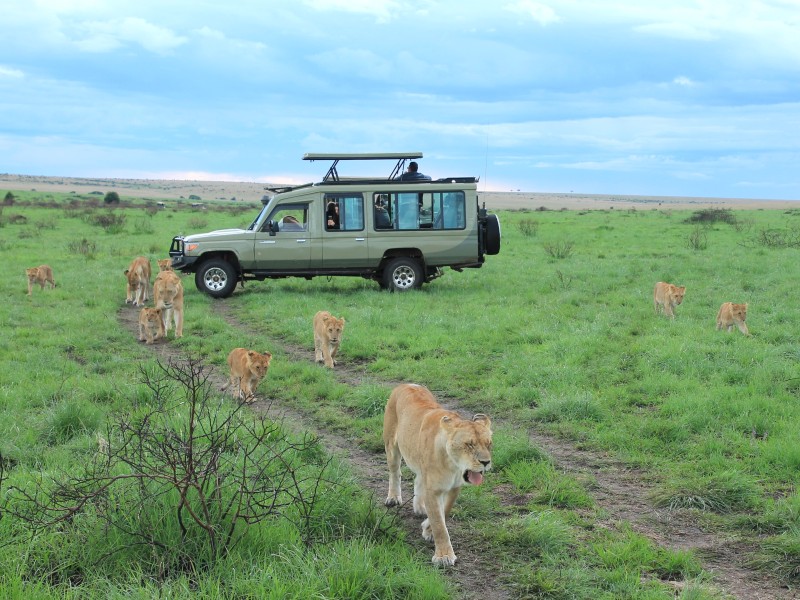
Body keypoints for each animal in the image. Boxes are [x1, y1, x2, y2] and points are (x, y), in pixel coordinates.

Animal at [383, 383, 492, 566]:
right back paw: (393, 498)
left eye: (489, 444)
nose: (486, 462)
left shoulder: (454, 487)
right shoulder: (433, 489)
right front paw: (444, 556)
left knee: (418, 479)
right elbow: (439, 523)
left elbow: (444, 511)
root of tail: (407, 384)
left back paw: (420, 508)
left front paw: (427, 529)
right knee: (395, 472)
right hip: (391, 445)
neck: (452, 465)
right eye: (469, 445)